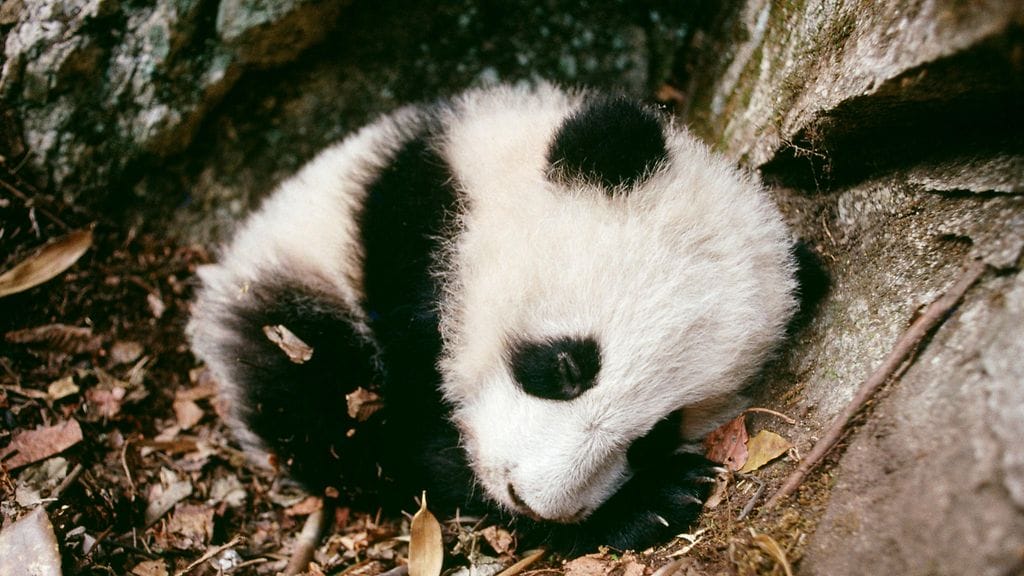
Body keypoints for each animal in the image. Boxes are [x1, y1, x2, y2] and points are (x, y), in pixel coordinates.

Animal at [187, 82, 802, 552]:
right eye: (566, 366)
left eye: (655, 433)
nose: (535, 501)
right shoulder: (408, 236)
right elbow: (412, 434)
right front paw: (647, 502)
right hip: (294, 288)